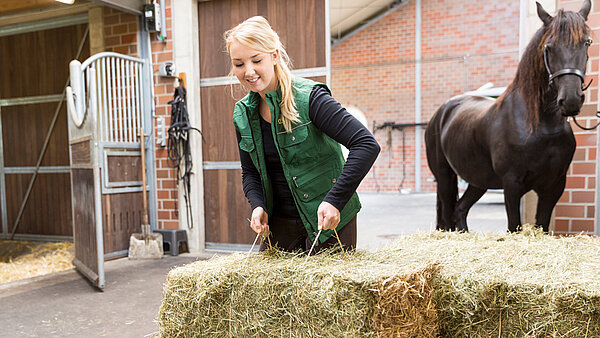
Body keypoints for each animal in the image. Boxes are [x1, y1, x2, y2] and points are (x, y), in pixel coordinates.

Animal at [426, 0, 592, 232]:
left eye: (587, 43)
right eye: (548, 47)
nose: (570, 100)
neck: (541, 127)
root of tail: (441, 112)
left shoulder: (554, 186)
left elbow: (542, 225)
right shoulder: (511, 184)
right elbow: (514, 226)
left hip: (478, 179)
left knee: (460, 209)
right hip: (444, 175)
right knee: (449, 214)